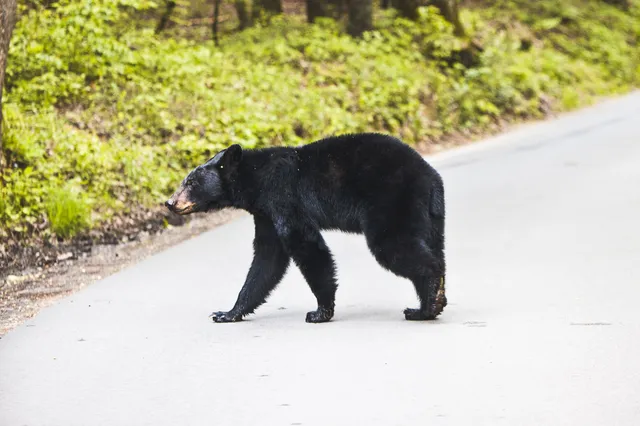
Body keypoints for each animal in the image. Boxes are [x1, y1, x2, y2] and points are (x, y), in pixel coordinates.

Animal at [165, 133, 446, 323]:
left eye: (191, 182)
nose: (169, 202)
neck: (255, 180)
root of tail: (430, 177)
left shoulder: (283, 197)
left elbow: (306, 245)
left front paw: (320, 311)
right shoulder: (265, 213)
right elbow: (267, 259)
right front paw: (228, 312)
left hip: (391, 201)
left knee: (394, 246)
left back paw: (428, 303)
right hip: (431, 217)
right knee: (434, 246)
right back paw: (428, 304)